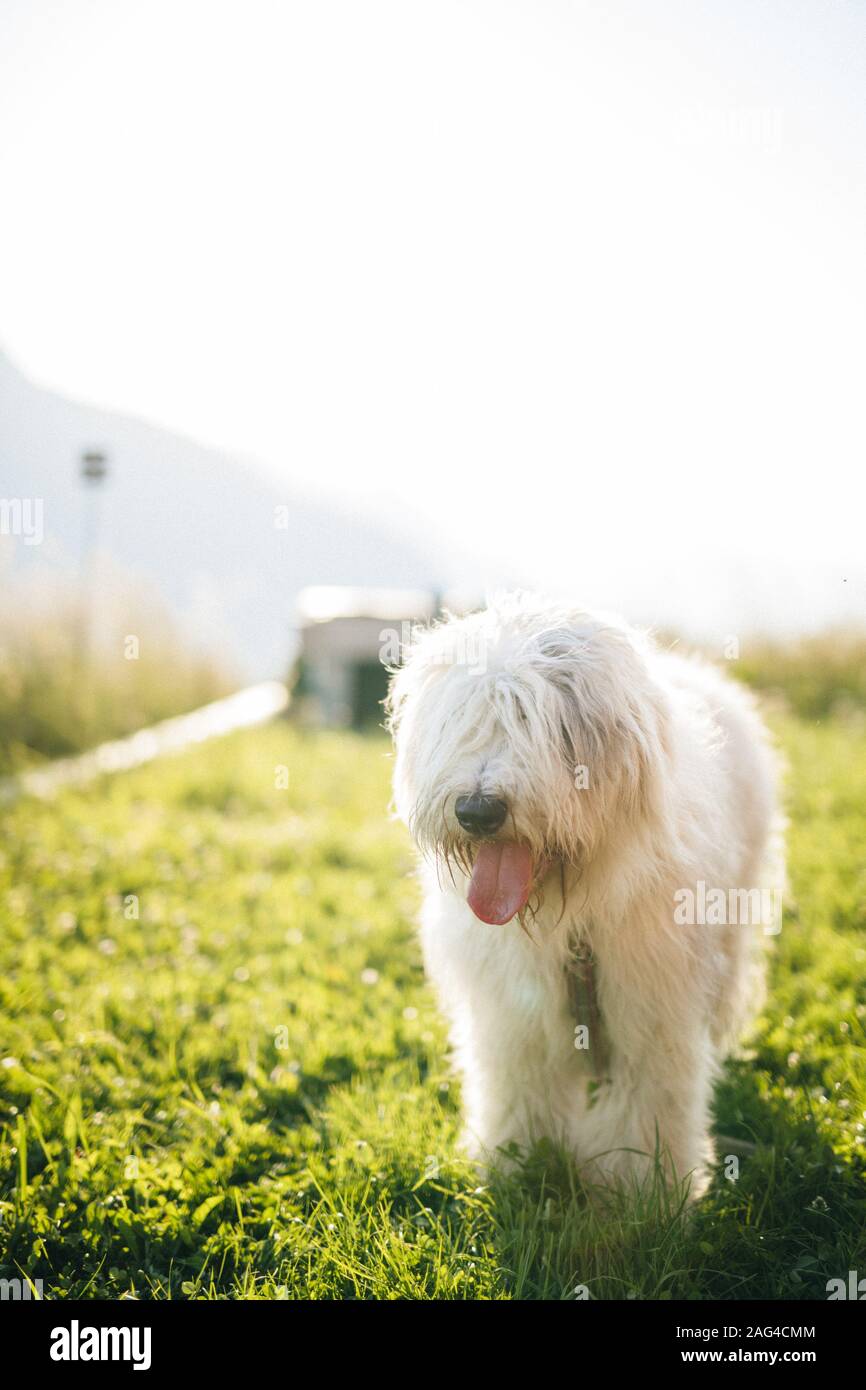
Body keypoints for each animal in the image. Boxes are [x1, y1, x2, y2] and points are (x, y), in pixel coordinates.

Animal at [389, 592, 783, 1200]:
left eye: (534, 721)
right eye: (466, 721)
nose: (477, 810)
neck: (570, 912)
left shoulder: (652, 1008)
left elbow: (649, 1104)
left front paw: (646, 1193)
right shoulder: (514, 1015)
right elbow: (519, 1091)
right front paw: (516, 1165)